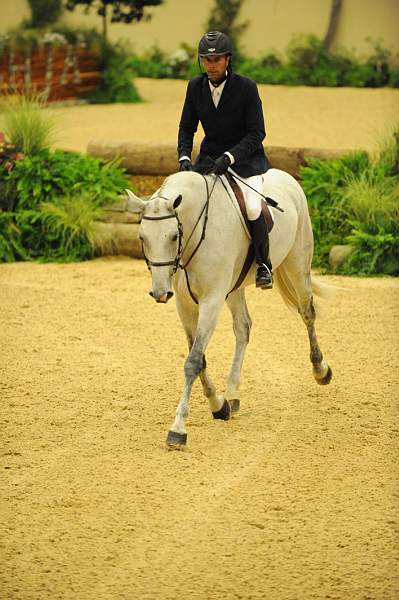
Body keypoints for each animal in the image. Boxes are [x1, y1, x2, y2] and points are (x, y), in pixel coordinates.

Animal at [126, 166, 332, 448]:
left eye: (174, 236)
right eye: (142, 237)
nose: (160, 293)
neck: (196, 231)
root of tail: (287, 177)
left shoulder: (211, 301)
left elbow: (193, 361)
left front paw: (178, 429)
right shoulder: (185, 304)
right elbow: (199, 359)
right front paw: (219, 405)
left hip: (297, 264)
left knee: (307, 313)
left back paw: (321, 370)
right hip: (235, 287)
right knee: (243, 327)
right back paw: (232, 394)